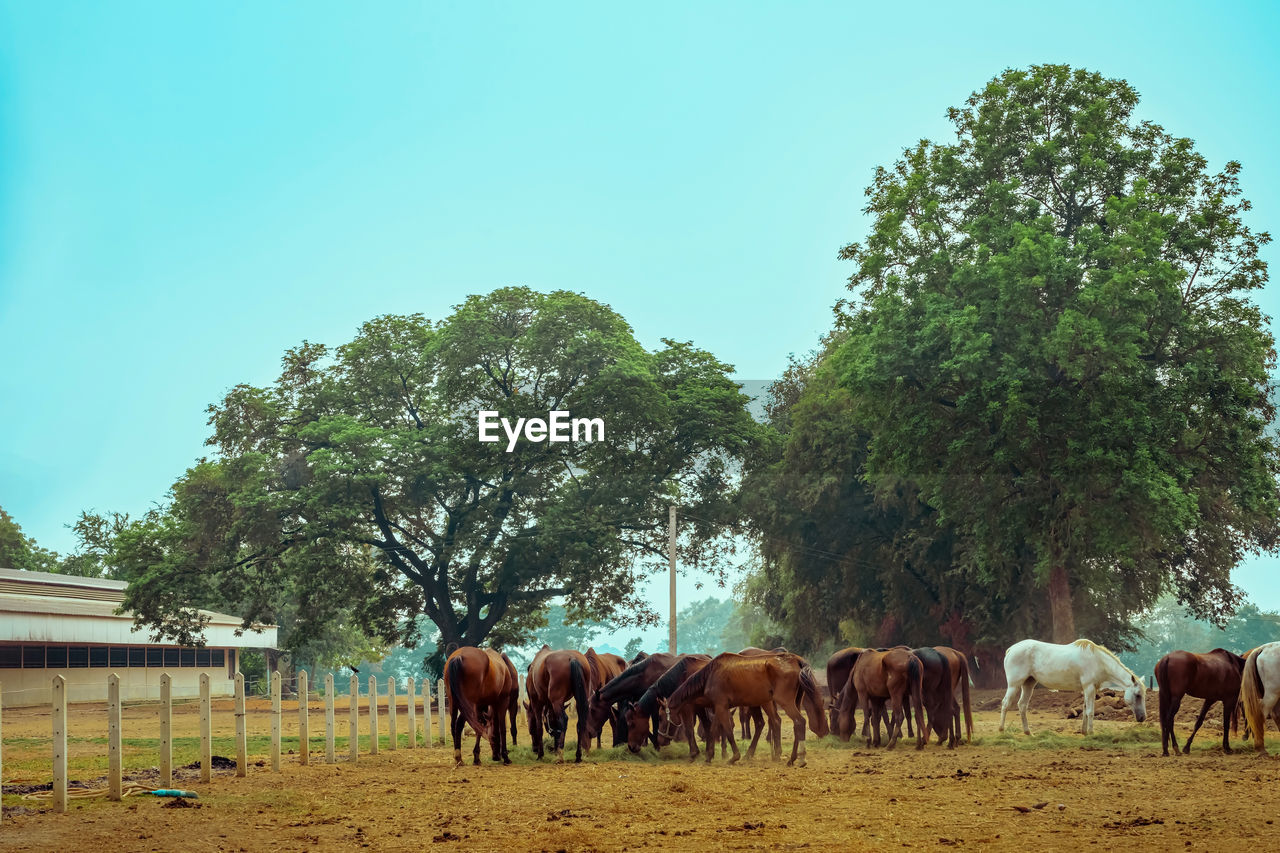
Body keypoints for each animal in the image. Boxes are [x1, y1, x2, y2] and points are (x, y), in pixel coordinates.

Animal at [665, 650, 824, 763]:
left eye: (666, 713)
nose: (674, 722)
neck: (711, 673)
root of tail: (795, 660)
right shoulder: (719, 707)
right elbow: (714, 729)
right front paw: (709, 756)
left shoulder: (721, 706)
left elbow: (727, 730)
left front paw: (734, 757)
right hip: (791, 701)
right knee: (792, 725)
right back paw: (791, 758)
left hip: (785, 702)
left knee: (799, 722)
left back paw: (800, 758)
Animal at [998, 635, 1152, 732]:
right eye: (1138, 695)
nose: (1142, 718)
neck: (1098, 660)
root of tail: (1011, 649)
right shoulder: (1089, 688)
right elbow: (1090, 711)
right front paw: (1091, 732)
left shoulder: (1088, 690)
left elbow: (1085, 709)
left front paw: (1084, 732)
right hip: (1014, 685)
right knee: (1005, 704)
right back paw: (1001, 730)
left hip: (1028, 684)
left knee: (1022, 705)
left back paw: (1028, 732)